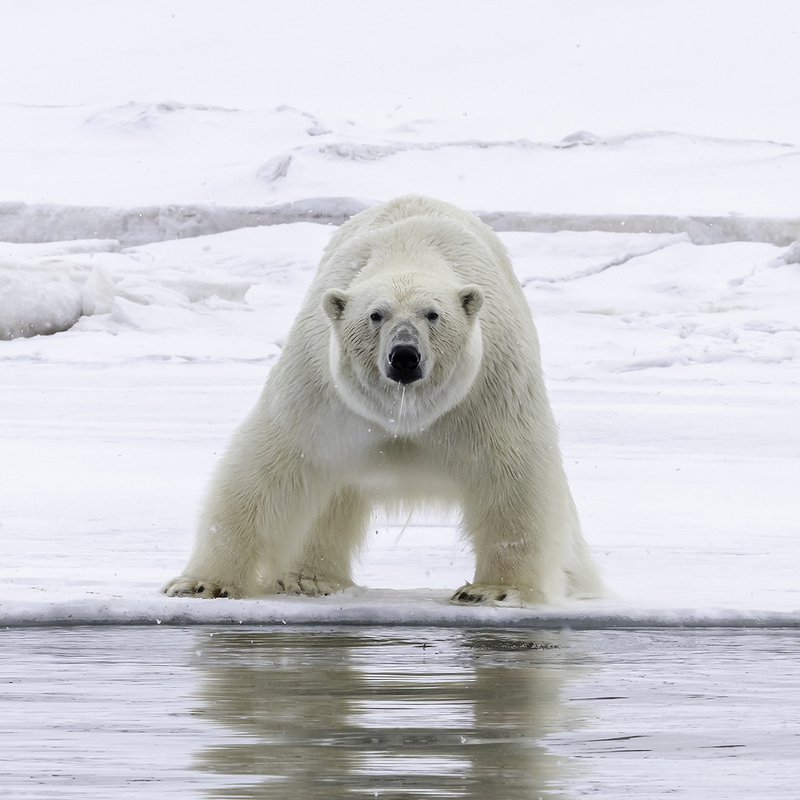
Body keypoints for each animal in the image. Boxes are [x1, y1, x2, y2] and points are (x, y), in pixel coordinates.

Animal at [162, 195, 602, 606]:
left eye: (432, 314)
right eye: (376, 315)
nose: (404, 355)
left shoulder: (486, 388)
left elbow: (512, 472)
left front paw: (492, 590)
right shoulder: (321, 389)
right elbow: (267, 467)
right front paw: (198, 583)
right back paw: (308, 579)